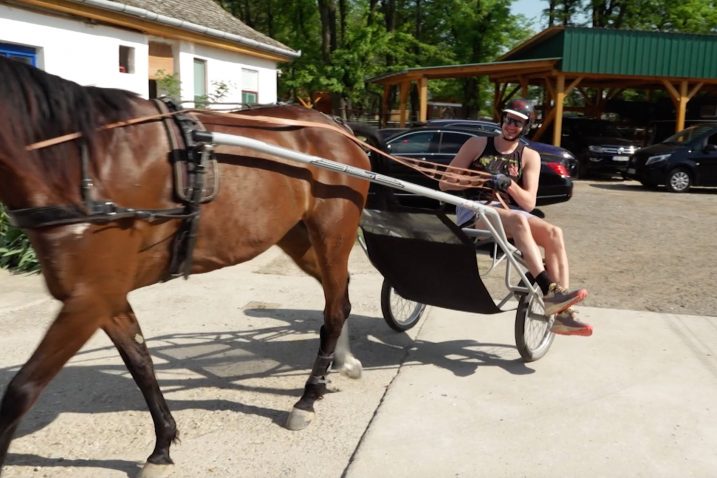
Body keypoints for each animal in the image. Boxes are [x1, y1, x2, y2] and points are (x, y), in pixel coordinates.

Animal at [0, 58, 370, 476]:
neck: (83, 165)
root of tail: (338, 128)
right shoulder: (105, 297)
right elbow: (141, 364)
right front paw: (163, 445)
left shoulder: (89, 298)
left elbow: (21, 391)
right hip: (299, 239)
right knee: (339, 299)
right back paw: (336, 369)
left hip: (332, 236)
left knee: (335, 308)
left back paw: (307, 397)